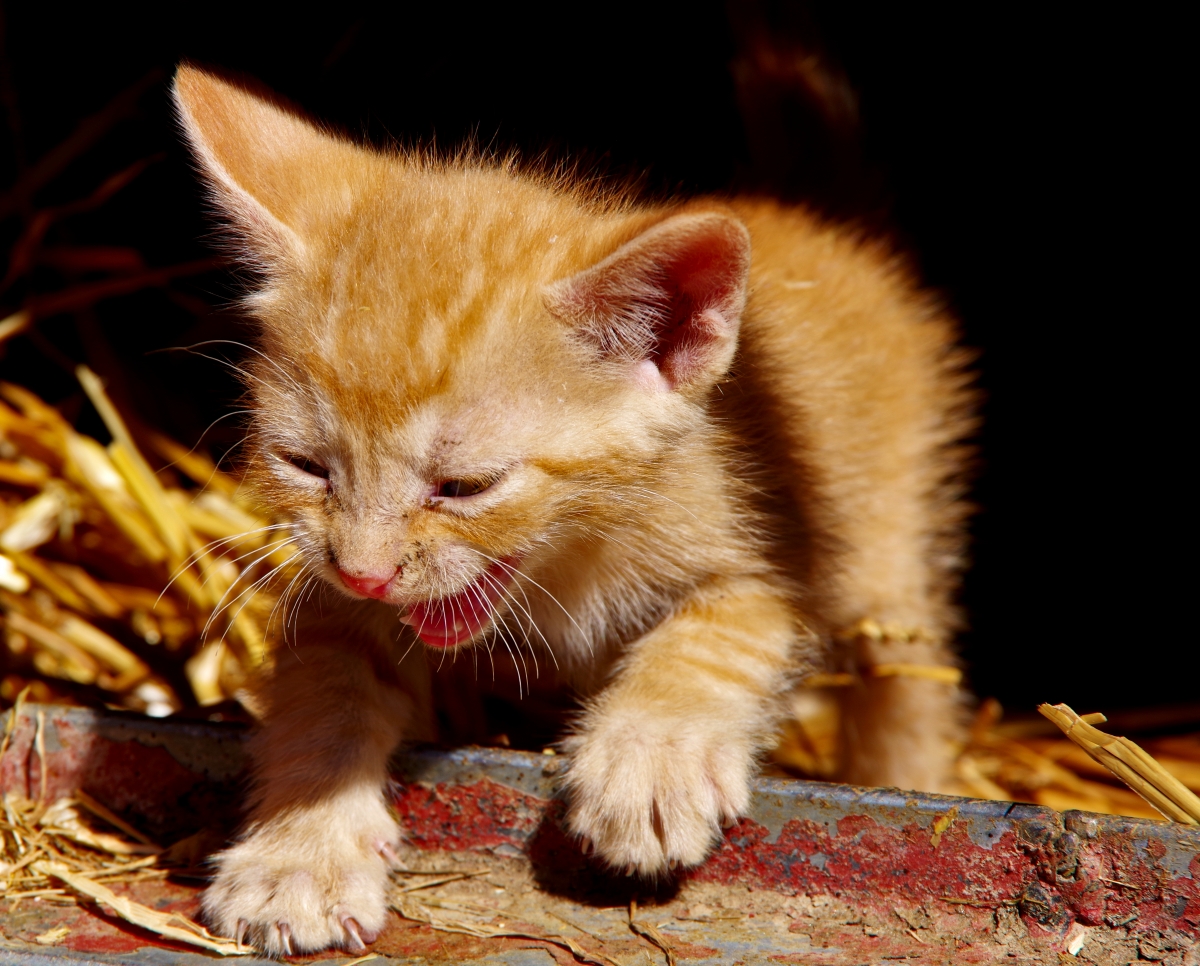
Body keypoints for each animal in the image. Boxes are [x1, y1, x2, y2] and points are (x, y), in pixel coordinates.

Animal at [171, 64, 974, 955]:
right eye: (306, 466)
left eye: (465, 486)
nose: (367, 571)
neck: (569, 566)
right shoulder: (334, 600)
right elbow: (325, 687)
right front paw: (300, 851)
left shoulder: (785, 556)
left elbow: (722, 630)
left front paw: (650, 756)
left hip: (890, 545)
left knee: (907, 674)